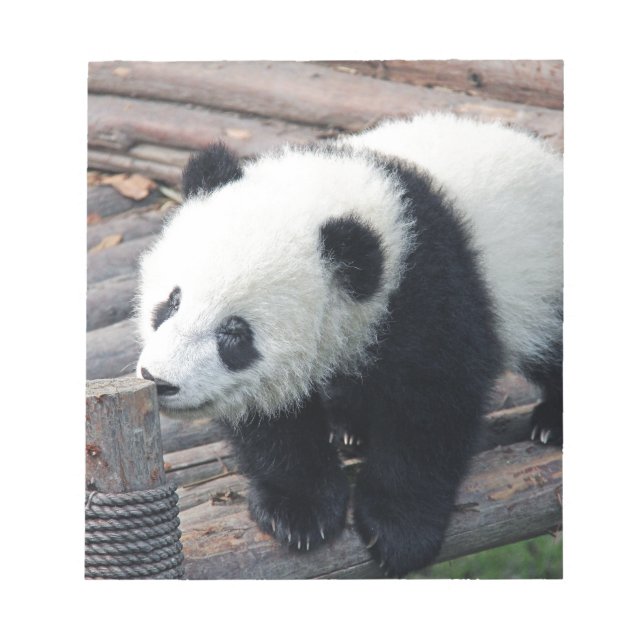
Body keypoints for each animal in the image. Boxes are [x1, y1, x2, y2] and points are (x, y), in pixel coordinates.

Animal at [135, 112, 563, 576]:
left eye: (234, 333)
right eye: (172, 301)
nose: (159, 380)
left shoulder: (429, 287)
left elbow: (432, 405)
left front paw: (398, 528)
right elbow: (272, 420)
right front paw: (300, 511)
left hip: (544, 274)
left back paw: (552, 422)